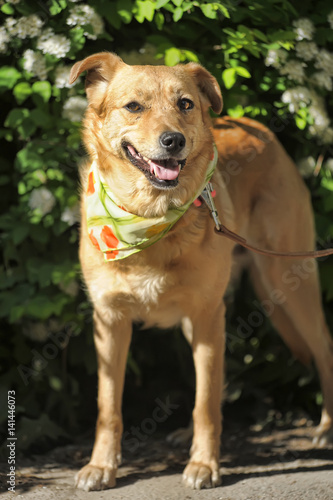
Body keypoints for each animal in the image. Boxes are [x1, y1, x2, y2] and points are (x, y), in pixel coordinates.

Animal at [69, 52, 332, 490]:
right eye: (134, 106)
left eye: (185, 104)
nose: (173, 140)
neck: (149, 218)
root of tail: (259, 128)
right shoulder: (110, 321)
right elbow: (109, 406)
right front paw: (102, 466)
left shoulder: (209, 314)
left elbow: (205, 404)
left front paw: (205, 464)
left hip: (287, 282)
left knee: (324, 346)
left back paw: (327, 428)